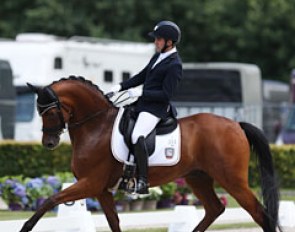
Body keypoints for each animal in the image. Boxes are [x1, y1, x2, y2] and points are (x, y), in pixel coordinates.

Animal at [20, 76, 280, 232]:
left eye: (49, 112)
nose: (49, 143)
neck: (96, 126)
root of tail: (236, 124)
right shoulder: (101, 189)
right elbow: (113, 221)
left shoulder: (90, 183)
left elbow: (51, 200)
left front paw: (25, 227)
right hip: (198, 177)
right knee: (215, 208)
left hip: (231, 179)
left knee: (260, 214)